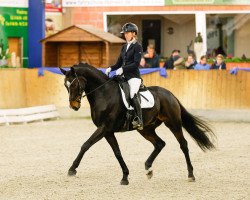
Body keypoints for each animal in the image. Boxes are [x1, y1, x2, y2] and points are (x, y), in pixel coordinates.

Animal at [59, 63, 216, 185]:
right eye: (66, 85)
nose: (74, 106)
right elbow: (117, 152)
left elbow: (86, 145)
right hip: (145, 129)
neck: (104, 94)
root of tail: (170, 94)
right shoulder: (107, 131)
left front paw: (72, 169)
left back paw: (191, 175)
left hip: (173, 123)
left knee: (183, 145)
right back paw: (148, 169)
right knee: (160, 143)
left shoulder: (104, 128)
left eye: (74, 84)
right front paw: (125, 176)